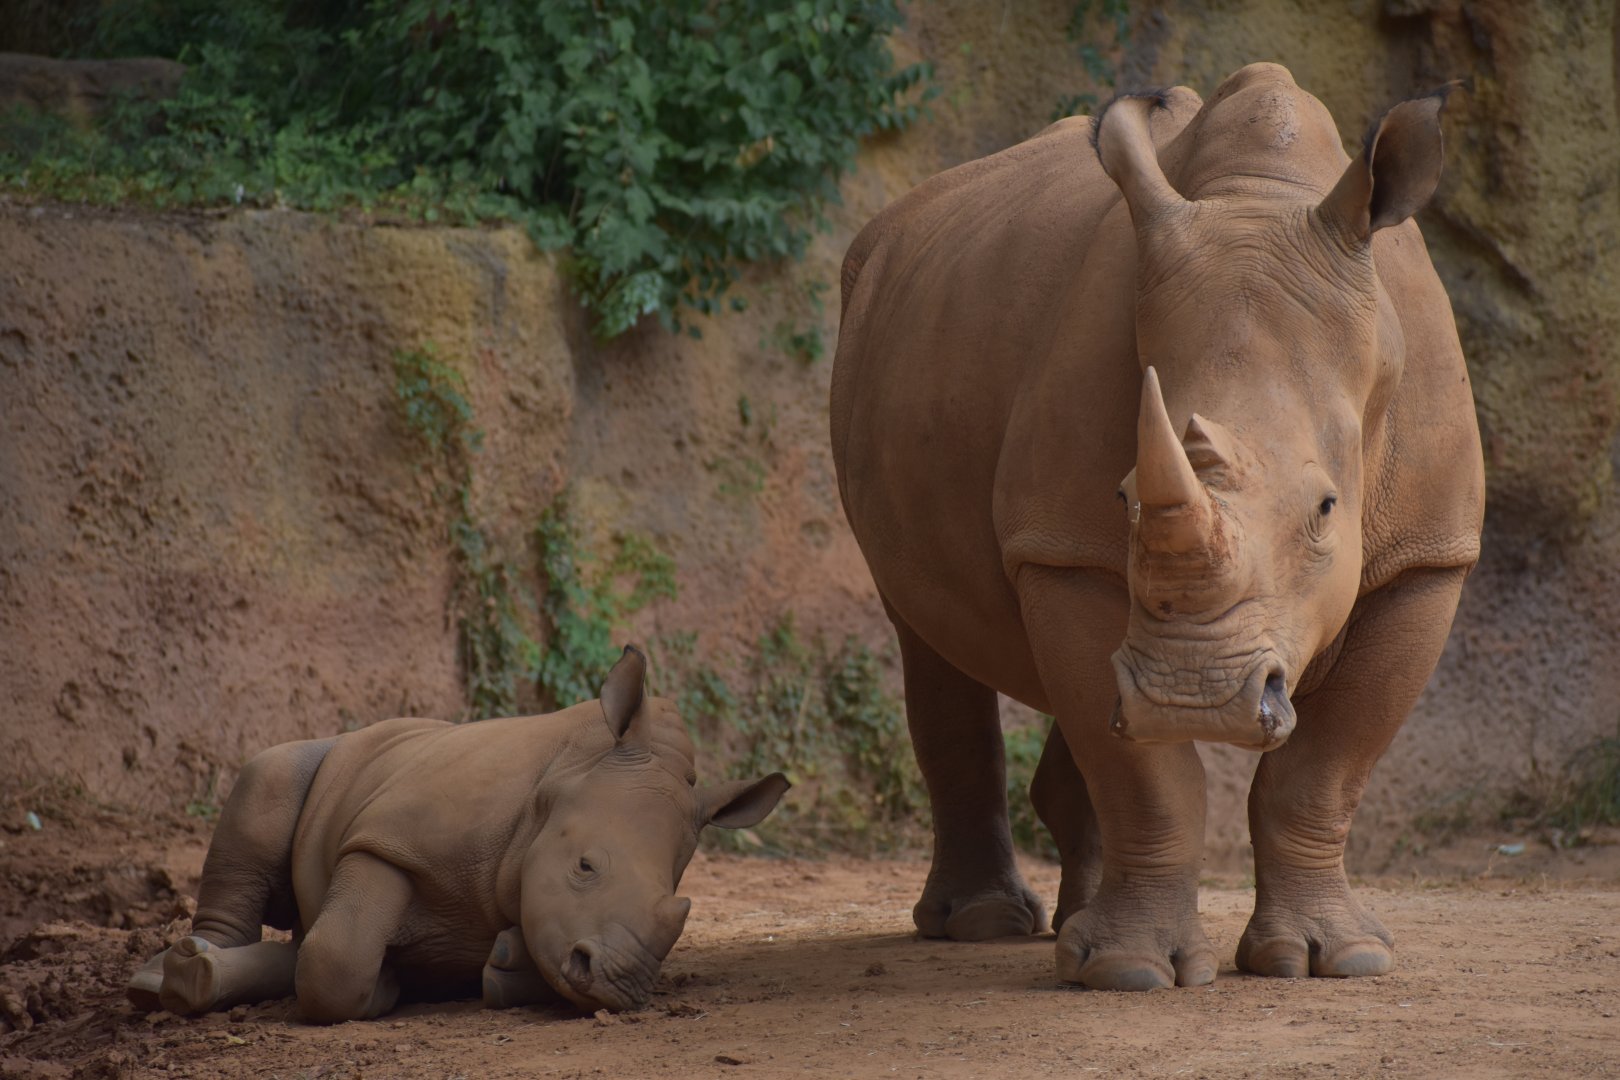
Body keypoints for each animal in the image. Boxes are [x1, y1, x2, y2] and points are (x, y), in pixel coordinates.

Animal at [126, 646, 788, 1021]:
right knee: (267, 783)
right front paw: (383, 987)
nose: (619, 986)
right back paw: (168, 980)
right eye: (584, 867)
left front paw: (496, 964)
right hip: (316, 765)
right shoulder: (389, 839)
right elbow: (339, 957)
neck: (563, 776)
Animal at [831, 63, 1483, 990]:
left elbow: (1323, 771)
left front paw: (1333, 959)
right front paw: (1128, 972)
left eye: (1327, 510)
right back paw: (989, 926)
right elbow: (1149, 776)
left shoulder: (1426, 558)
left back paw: (1065, 925)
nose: (1193, 697)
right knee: (925, 629)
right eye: (1122, 497)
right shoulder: (1061, 547)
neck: (1260, 195)